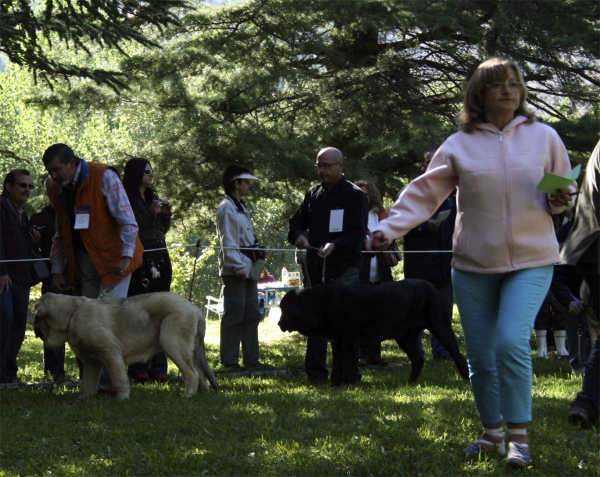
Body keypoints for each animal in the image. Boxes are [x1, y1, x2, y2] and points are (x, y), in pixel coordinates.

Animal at [34, 290, 218, 398]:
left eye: (38, 318)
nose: (34, 327)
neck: (72, 314)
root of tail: (196, 310)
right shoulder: (92, 361)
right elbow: (88, 381)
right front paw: (84, 399)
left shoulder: (111, 354)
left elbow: (118, 378)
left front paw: (122, 397)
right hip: (187, 349)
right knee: (199, 373)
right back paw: (202, 393)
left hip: (172, 342)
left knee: (192, 373)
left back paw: (188, 396)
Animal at [278, 278, 472, 384]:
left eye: (284, 309)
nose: (279, 323)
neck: (317, 304)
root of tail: (432, 287)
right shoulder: (337, 343)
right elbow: (337, 367)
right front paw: (335, 385)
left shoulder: (349, 341)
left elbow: (349, 365)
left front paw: (348, 385)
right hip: (404, 336)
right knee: (418, 359)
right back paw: (410, 382)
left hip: (440, 326)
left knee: (456, 354)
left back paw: (465, 378)